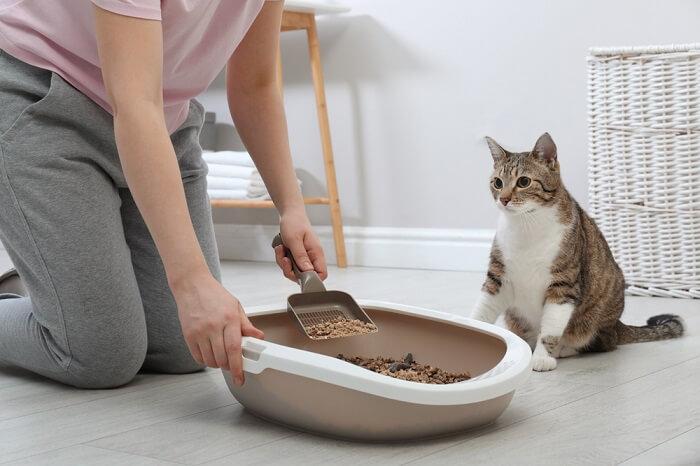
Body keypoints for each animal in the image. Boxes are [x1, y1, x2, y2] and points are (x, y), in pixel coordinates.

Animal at [470, 132, 684, 372]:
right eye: (497, 182)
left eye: (524, 181)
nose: (504, 199)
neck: (526, 226)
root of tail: (618, 325)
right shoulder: (497, 276)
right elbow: (482, 310)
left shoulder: (563, 283)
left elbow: (551, 328)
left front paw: (542, 357)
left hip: (597, 316)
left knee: (600, 342)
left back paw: (563, 349)